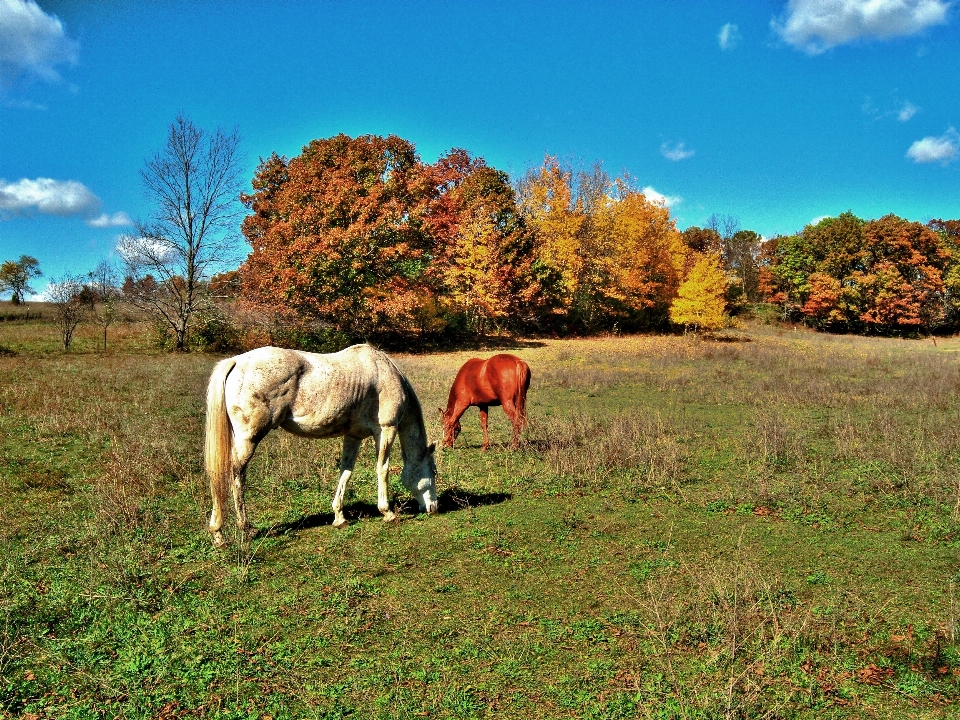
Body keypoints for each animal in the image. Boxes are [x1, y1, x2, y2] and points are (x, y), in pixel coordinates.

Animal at [208, 344, 440, 544]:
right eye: (434, 471)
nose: (434, 507)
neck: (385, 373)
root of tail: (237, 361)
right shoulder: (385, 430)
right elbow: (382, 469)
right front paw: (388, 512)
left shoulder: (353, 436)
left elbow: (346, 472)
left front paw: (339, 516)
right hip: (248, 439)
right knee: (236, 475)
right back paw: (242, 528)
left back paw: (219, 534)